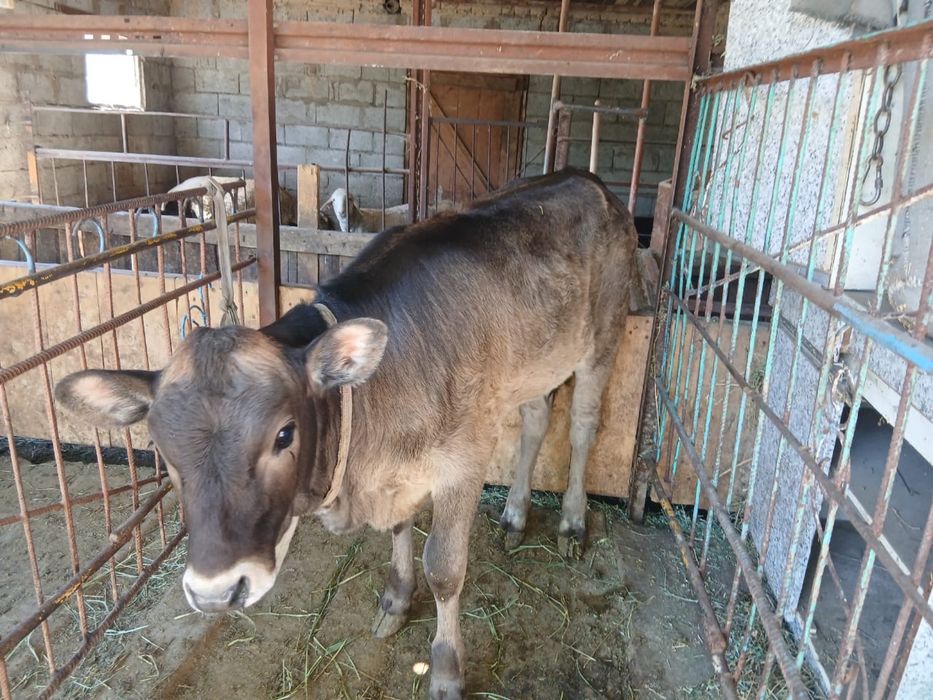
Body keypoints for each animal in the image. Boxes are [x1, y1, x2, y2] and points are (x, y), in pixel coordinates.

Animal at [55, 169, 638, 699]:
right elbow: (401, 528)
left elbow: (445, 569)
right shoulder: (398, 472)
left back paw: (571, 522)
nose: (217, 594)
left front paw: (446, 670)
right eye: (162, 450)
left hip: (604, 338)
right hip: (535, 363)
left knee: (582, 426)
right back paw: (516, 512)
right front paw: (396, 599)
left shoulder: (464, 460)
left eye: (284, 435)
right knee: (537, 418)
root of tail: (588, 179)